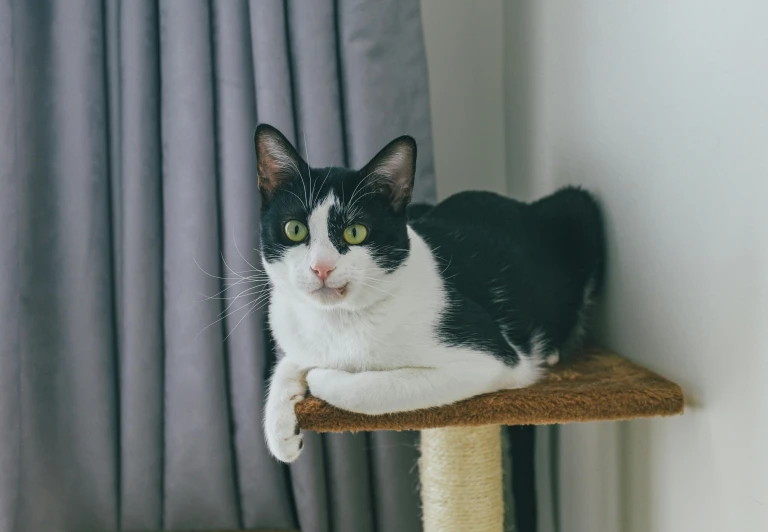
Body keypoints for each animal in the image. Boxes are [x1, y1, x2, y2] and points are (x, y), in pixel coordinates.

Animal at [258, 123, 608, 462]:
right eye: (295, 229)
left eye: (355, 232)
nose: (321, 267)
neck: (340, 319)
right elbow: (288, 363)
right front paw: (281, 430)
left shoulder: (492, 360)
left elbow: (373, 389)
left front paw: (319, 378)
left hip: (576, 208)